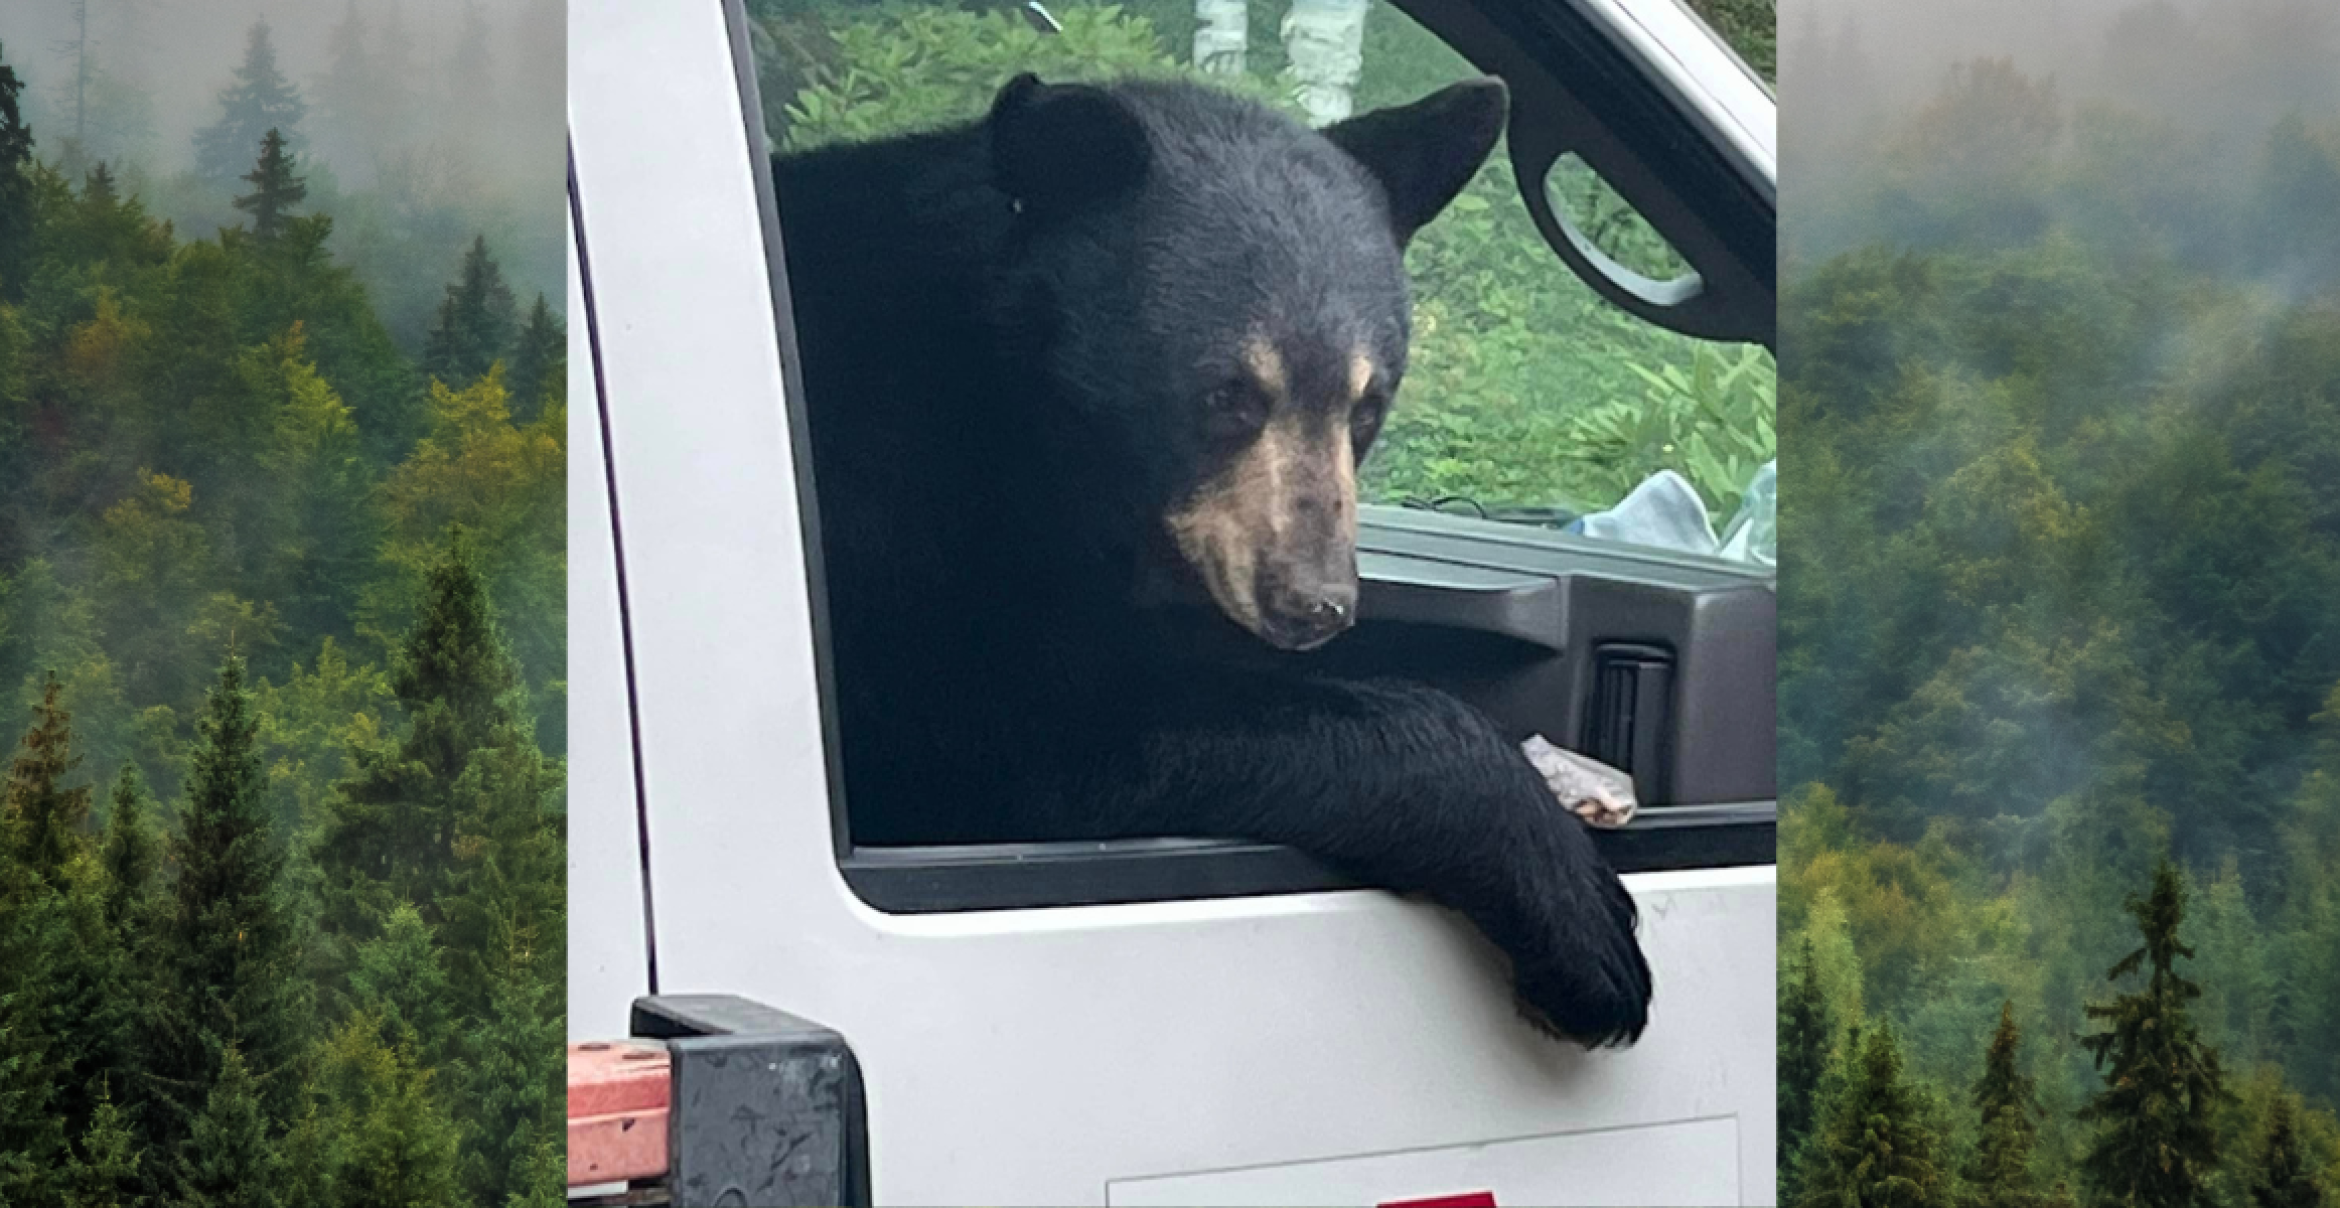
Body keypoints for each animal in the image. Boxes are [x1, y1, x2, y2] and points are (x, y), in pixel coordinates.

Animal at [767, 73, 1647, 1048]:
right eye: (1226, 393)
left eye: (1367, 402)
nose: (1314, 603)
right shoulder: (890, 511)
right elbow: (1024, 728)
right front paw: (1586, 920)